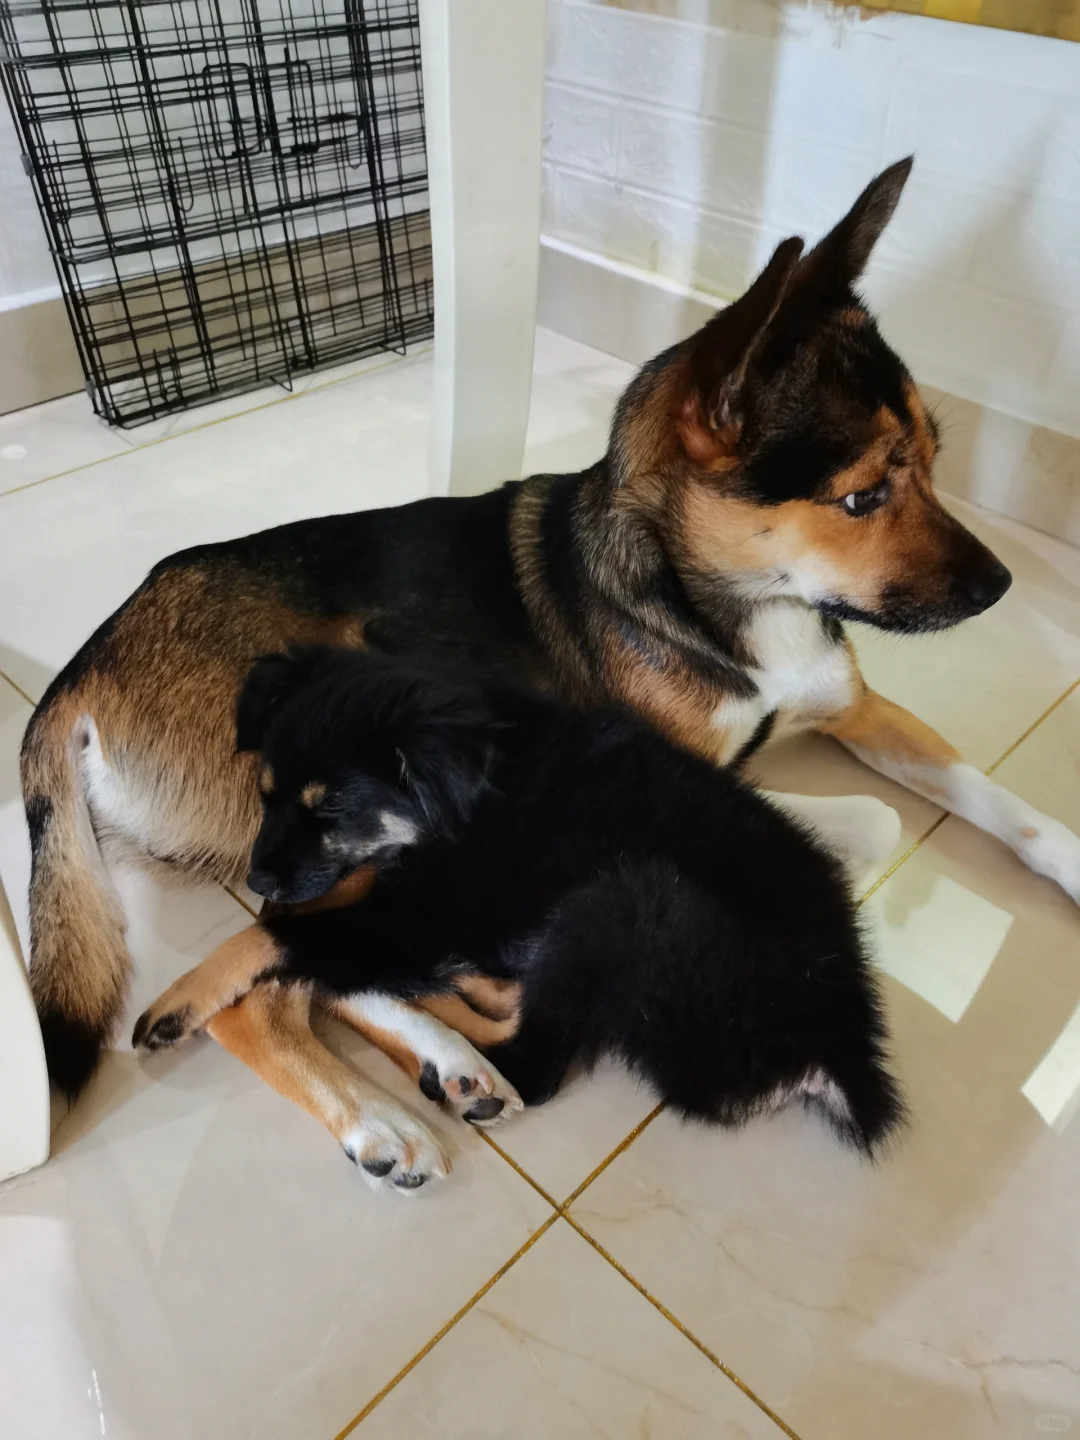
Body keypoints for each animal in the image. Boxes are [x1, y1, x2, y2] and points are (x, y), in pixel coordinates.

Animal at [22, 156, 1080, 1109]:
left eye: (936, 463)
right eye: (862, 496)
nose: (1000, 587)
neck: (721, 599)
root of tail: (86, 665)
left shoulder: (856, 704)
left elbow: (995, 799)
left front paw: (1065, 855)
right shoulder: (678, 772)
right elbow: (866, 817)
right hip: (330, 824)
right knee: (283, 980)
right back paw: (413, 1092)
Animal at [131, 645, 906, 1190]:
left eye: (332, 812)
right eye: (265, 794)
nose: (258, 878)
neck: (467, 787)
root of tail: (834, 1045)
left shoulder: (425, 910)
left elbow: (271, 934)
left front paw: (176, 1001)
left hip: (622, 901)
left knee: (530, 1057)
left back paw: (459, 1047)